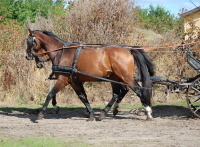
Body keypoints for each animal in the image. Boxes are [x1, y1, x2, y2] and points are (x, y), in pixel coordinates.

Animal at [25, 29, 154, 121]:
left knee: (138, 90)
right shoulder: (74, 82)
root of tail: (129, 50)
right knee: (117, 93)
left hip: (126, 77)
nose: (28, 56)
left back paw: (148, 112)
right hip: (115, 77)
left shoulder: (63, 80)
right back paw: (104, 113)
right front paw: (91, 114)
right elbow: (83, 97)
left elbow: (50, 94)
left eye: (29, 42)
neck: (61, 52)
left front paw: (41, 113)